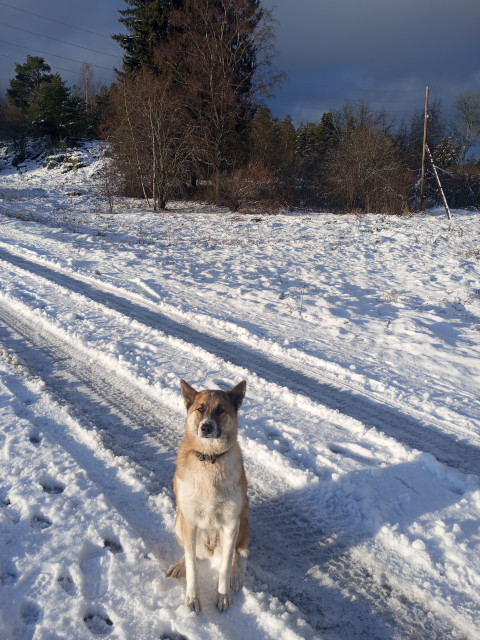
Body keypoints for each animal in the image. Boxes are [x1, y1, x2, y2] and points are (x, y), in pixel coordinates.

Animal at [167, 378, 249, 612]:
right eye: (200, 408)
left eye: (221, 410)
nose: (206, 427)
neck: (210, 459)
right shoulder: (189, 520)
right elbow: (193, 566)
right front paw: (193, 597)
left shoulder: (231, 524)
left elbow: (224, 567)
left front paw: (222, 595)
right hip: (179, 521)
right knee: (191, 552)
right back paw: (180, 565)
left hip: (242, 522)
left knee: (236, 555)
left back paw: (234, 576)